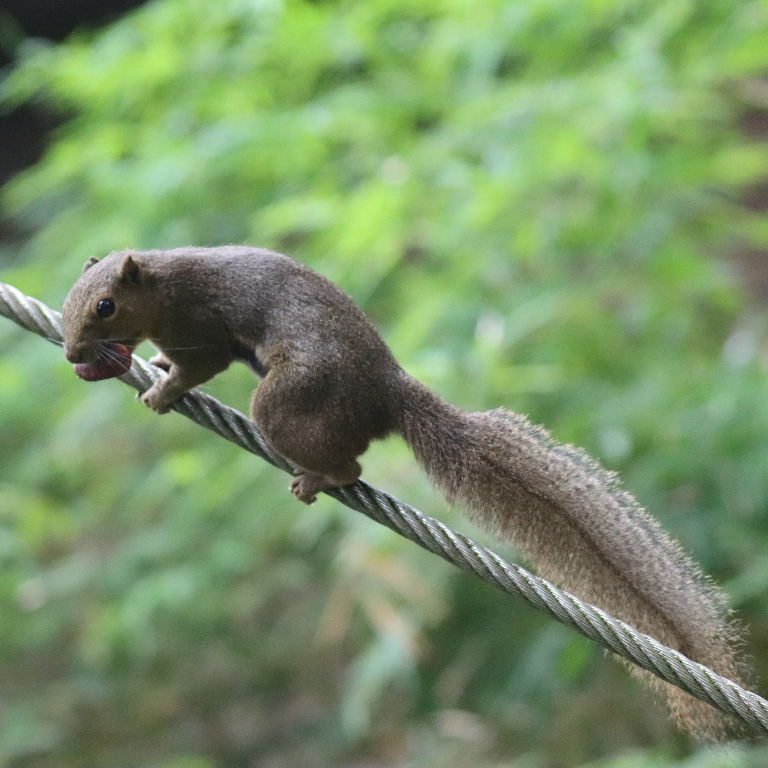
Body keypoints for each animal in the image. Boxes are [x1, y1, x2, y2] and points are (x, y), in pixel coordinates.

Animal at [62, 245, 748, 738]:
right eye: (70, 302)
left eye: (105, 307)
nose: (72, 353)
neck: (163, 284)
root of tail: (385, 391)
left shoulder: (198, 327)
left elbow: (196, 368)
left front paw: (163, 391)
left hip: (286, 403)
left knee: (350, 464)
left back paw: (322, 477)